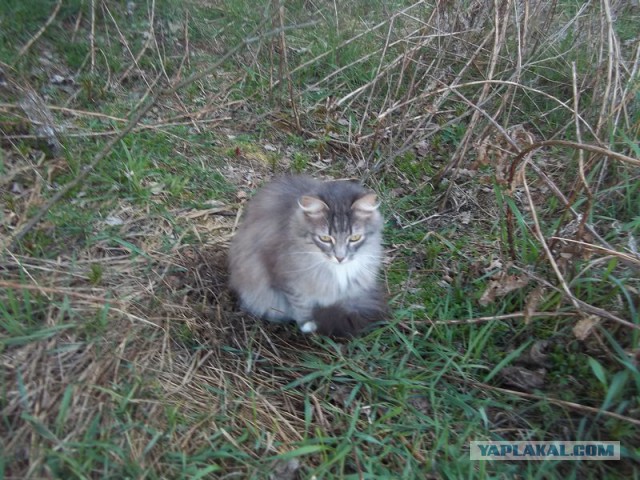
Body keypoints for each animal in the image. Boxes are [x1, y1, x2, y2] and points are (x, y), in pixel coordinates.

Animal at [228, 173, 384, 338]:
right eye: (325, 238)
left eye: (354, 238)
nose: (340, 257)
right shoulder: (284, 278)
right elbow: (300, 304)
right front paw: (308, 324)